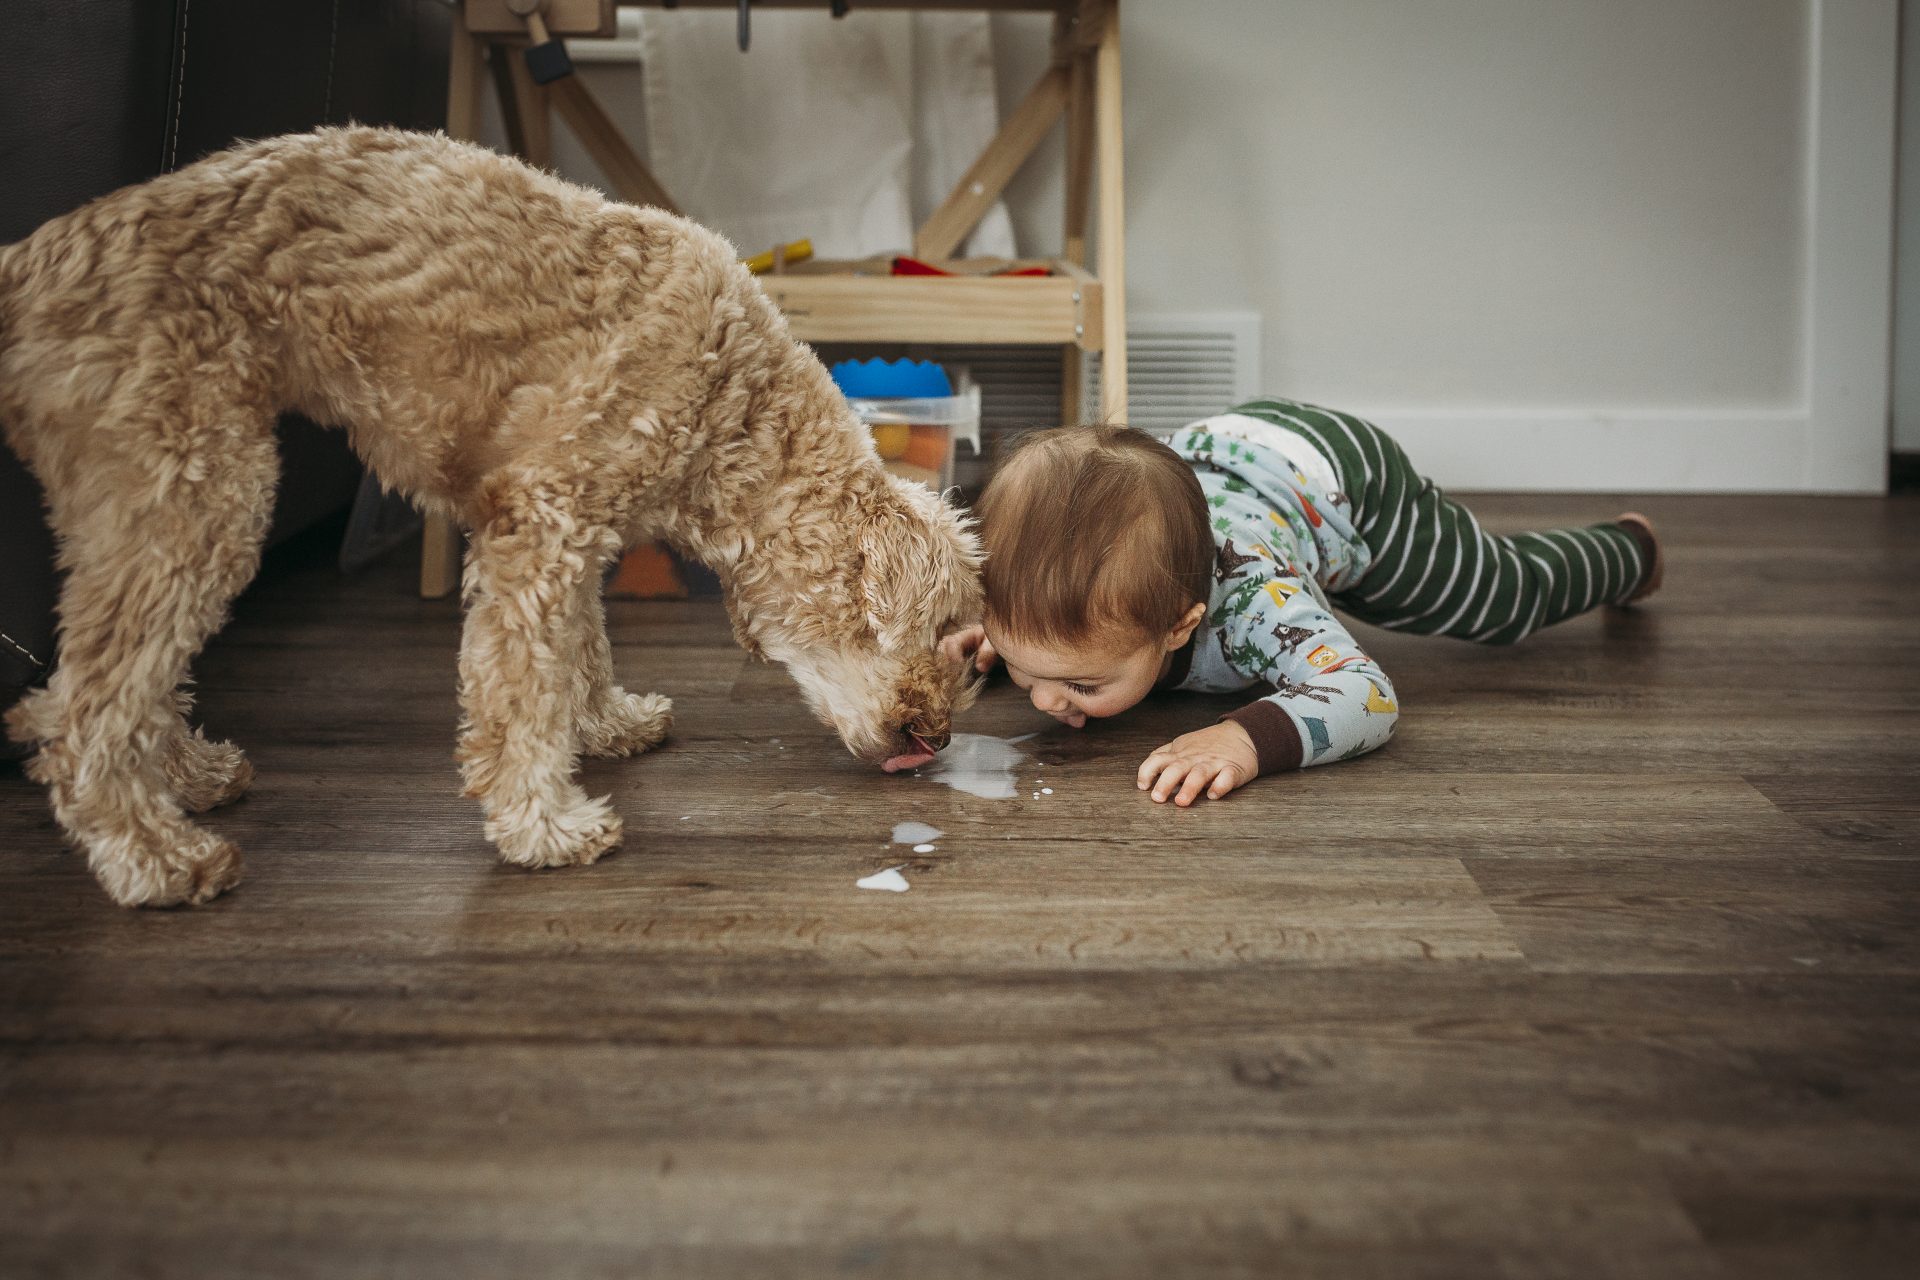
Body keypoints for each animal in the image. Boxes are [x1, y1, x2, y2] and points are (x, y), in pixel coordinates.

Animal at [0, 124, 983, 905]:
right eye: (952, 641)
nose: (935, 742)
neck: (733, 406)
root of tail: (31, 261)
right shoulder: (538, 525)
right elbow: (518, 693)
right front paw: (542, 826)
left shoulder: (575, 534)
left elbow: (581, 646)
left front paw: (607, 723)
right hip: (195, 491)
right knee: (81, 711)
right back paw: (157, 859)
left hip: (154, 504)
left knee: (98, 685)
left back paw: (189, 774)